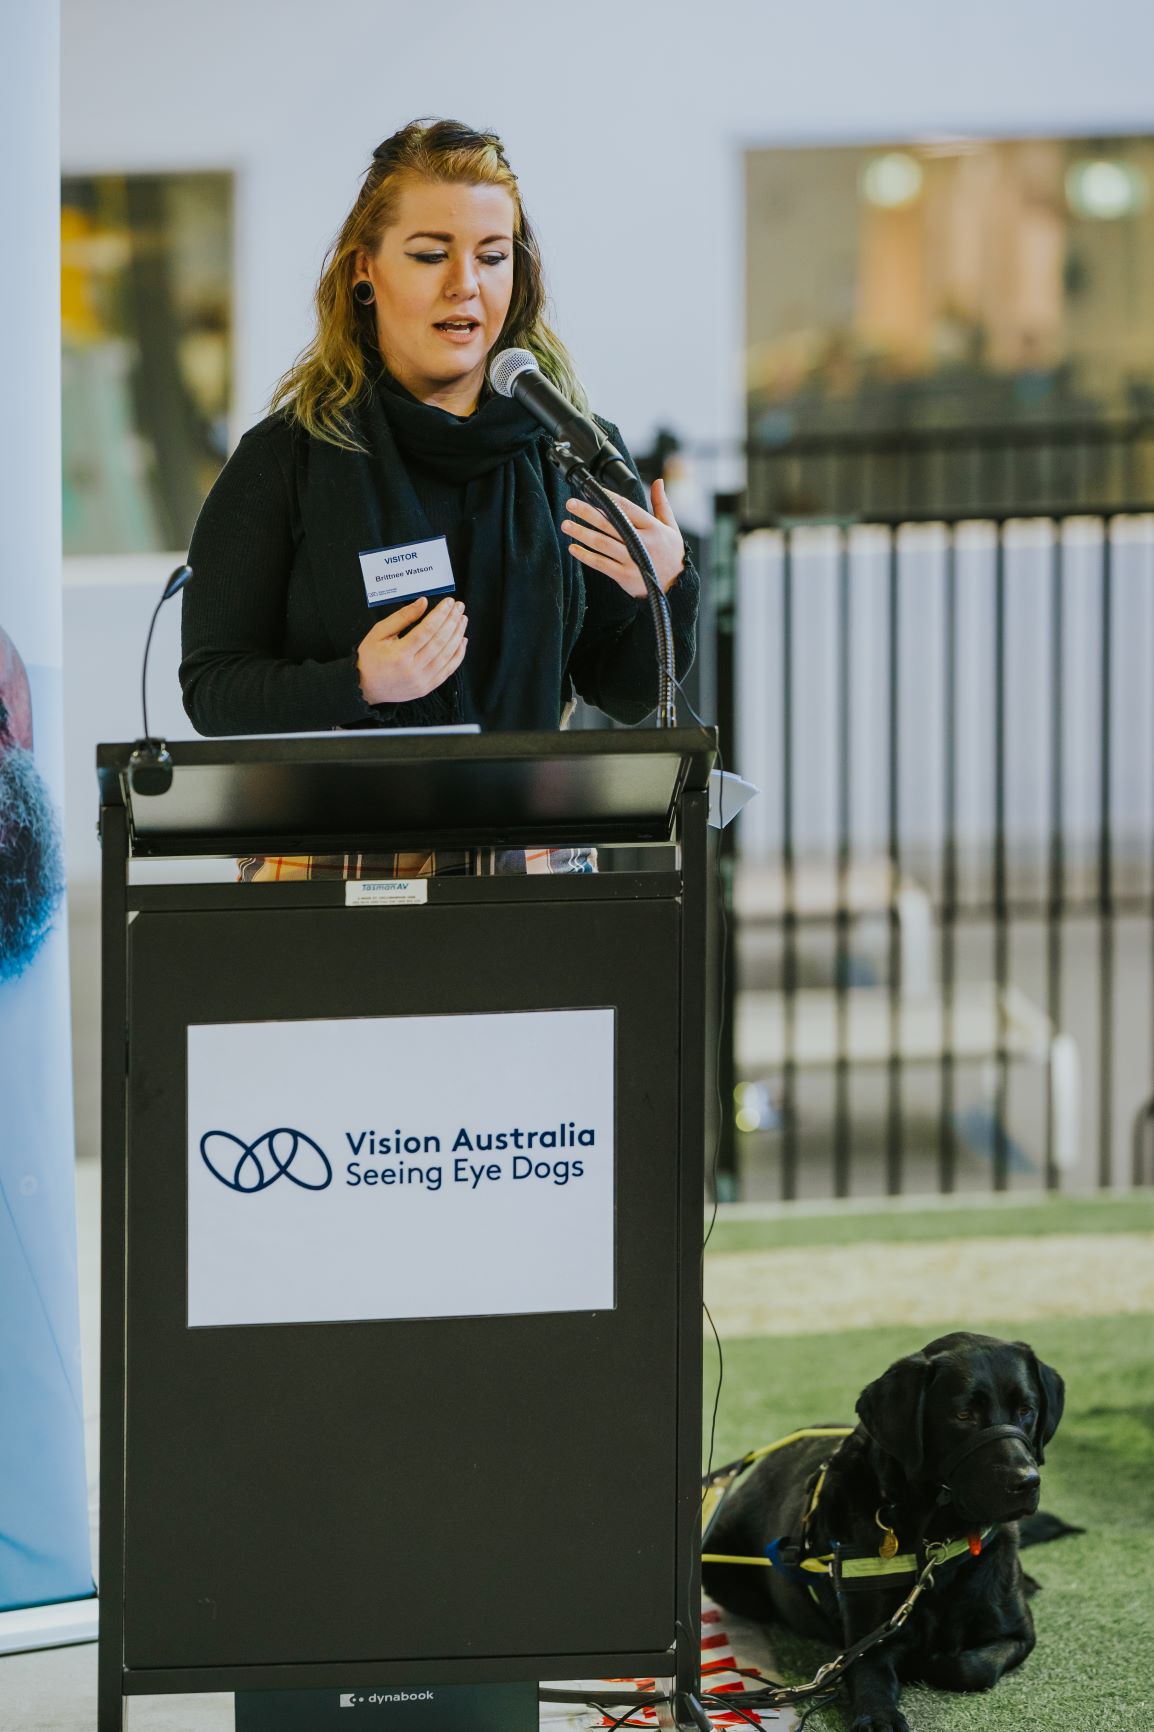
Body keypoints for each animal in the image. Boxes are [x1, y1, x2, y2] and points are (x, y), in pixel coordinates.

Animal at [700, 1330, 1067, 1725]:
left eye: (1026, 1410)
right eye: (963, 1414)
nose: (1026, 1481)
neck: (938, 1544)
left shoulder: (1018, 1634)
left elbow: (970, 1668)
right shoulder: (865, 1644)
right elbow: (872, 1678)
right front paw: (879, 1716)